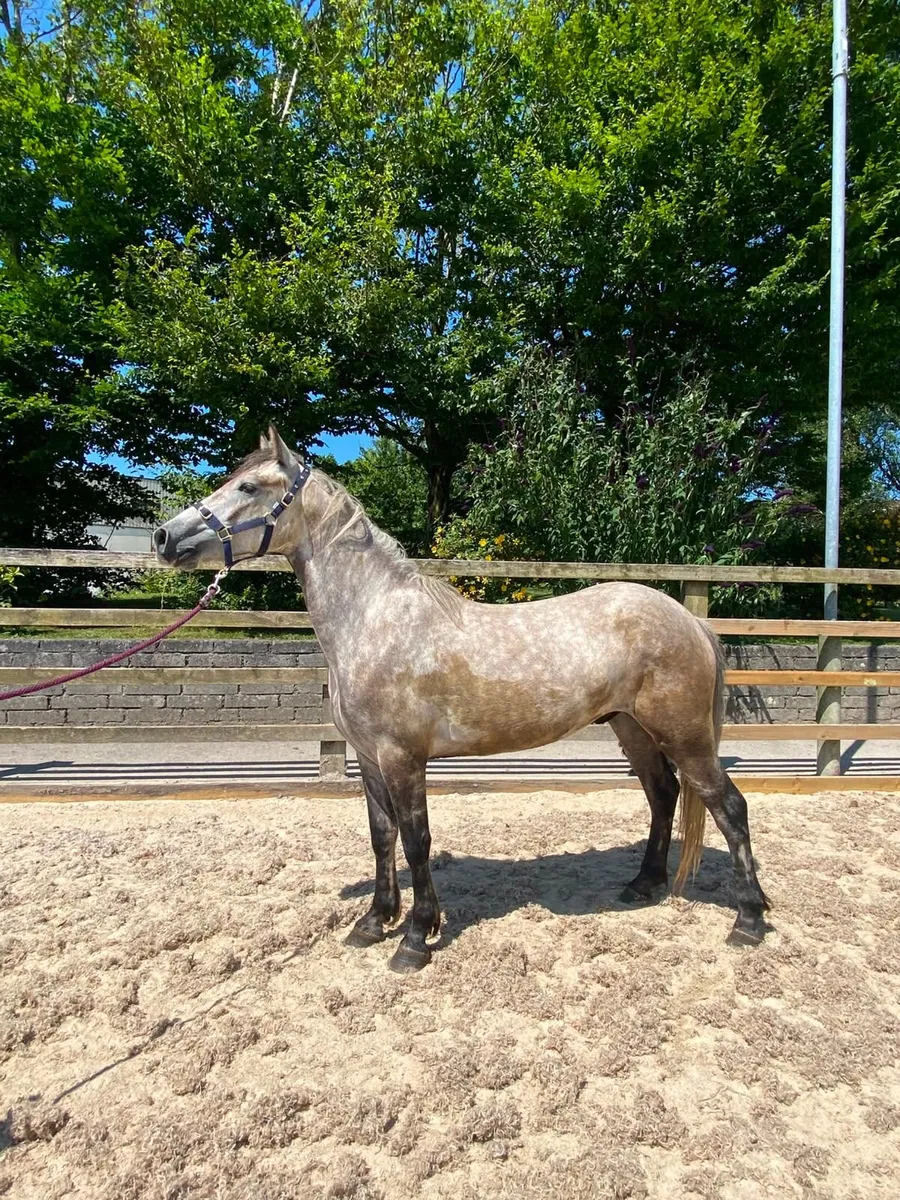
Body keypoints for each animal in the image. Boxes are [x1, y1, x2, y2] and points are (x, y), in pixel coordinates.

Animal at [154, 426, 770, 972]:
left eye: (248, 487)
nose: (164, 538)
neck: (375, 620)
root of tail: (689, 619)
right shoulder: (370, 759)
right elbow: (382, 838)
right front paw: (374, 923)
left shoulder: (404, 758)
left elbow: (417, 841)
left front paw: (415, 940)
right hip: (631, 729)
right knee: (663, 795)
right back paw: (643, 885)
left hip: (684, 736)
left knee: (729, 807)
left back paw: (749, 921)